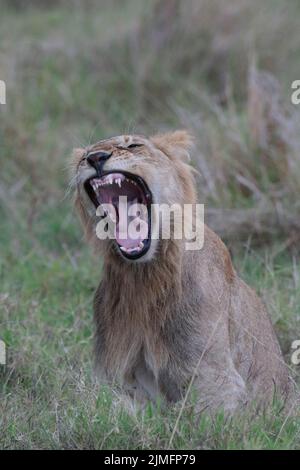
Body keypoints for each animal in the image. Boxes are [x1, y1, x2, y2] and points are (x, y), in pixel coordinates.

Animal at [72, 130, 292, 414]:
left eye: (133, 145)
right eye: (84, 156)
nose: (96, 157)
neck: (143, 276)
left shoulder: (217, 380)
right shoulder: (115, 378)